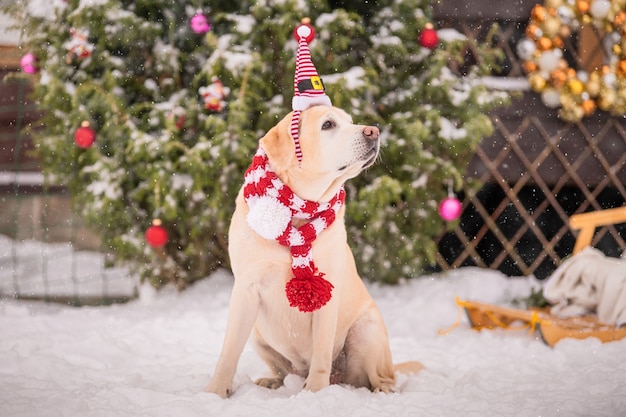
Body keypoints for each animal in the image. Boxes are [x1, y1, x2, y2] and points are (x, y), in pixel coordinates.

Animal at [207, 104, 422, 396]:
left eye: (350, 121)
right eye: (328, 125)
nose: (374, 131)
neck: (297, 213)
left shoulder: (327, 294)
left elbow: (321, 354)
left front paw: (315, 393)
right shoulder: (246, 289)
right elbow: (229, 351)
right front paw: (215, 392)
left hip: (366, 330)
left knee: (379, 376)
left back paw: (382, 391)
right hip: (257, 334)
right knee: (283, 371)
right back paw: (272, 382)